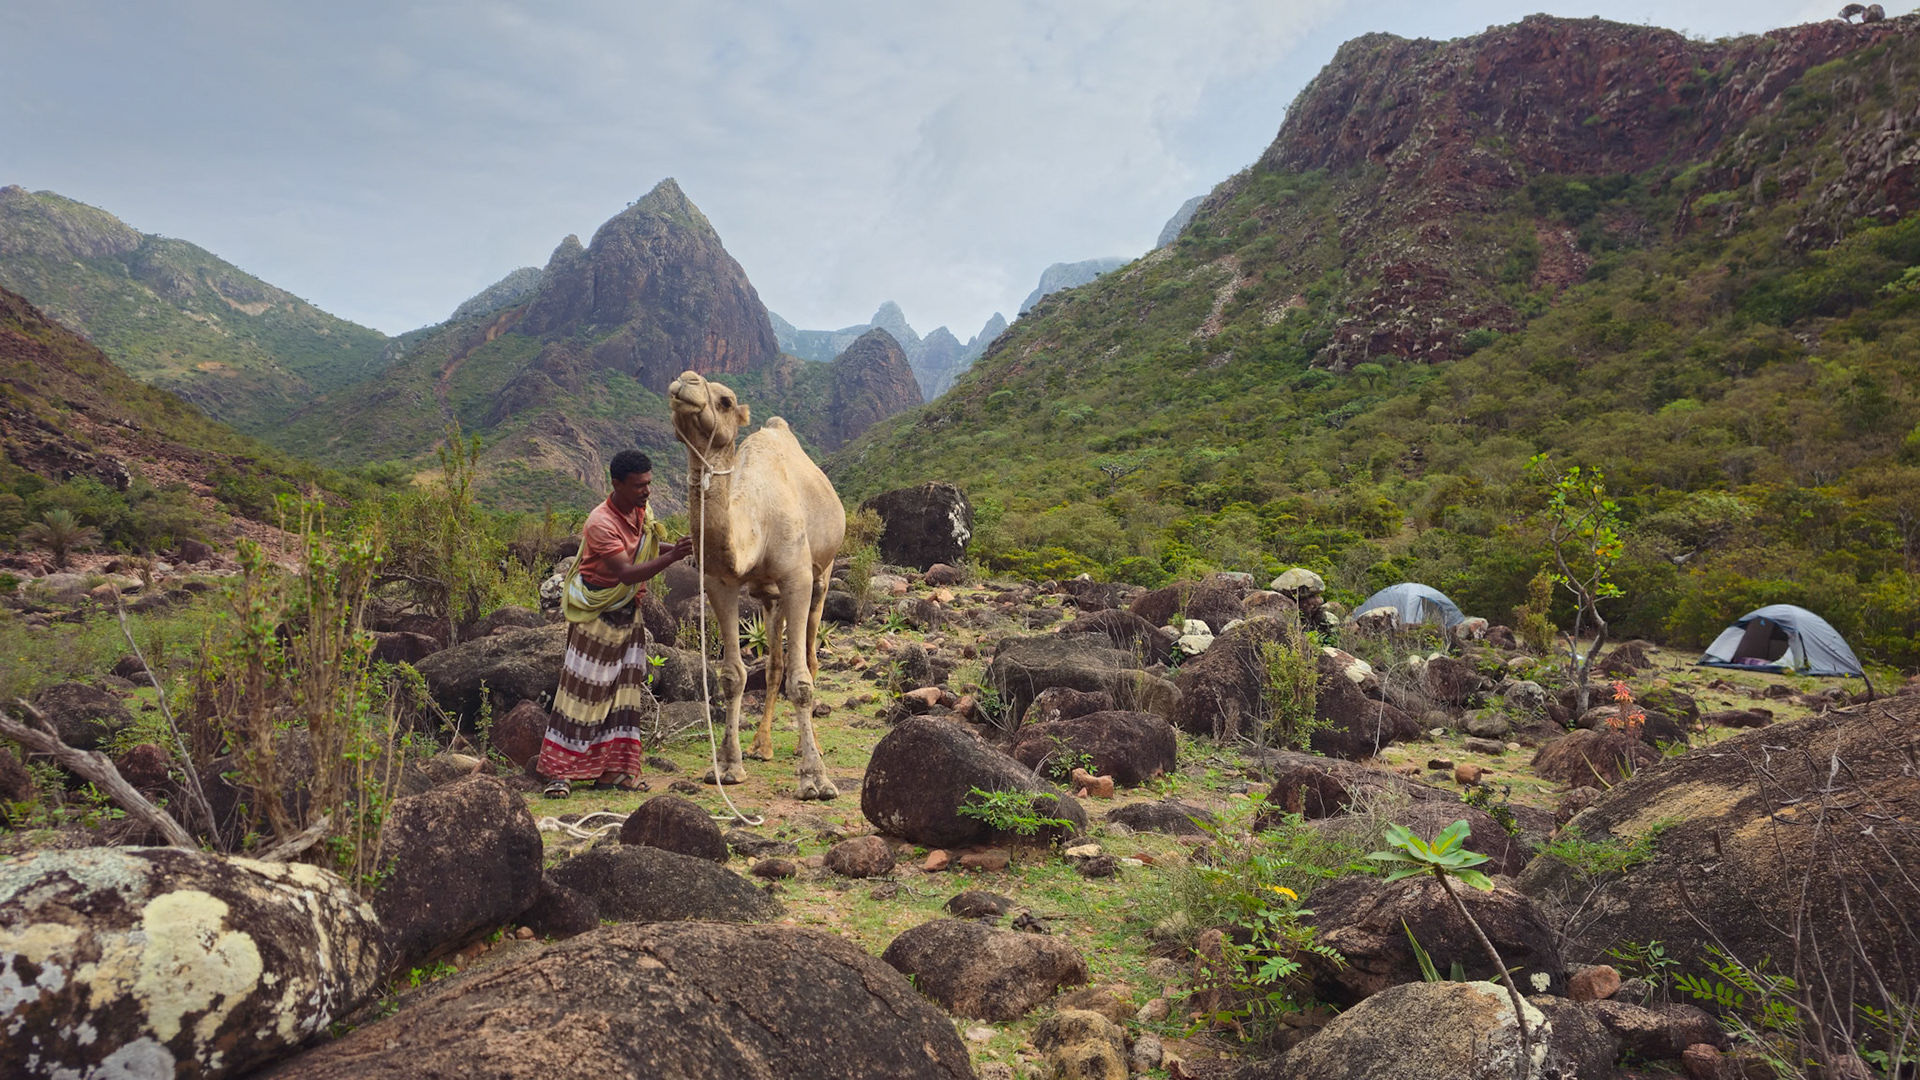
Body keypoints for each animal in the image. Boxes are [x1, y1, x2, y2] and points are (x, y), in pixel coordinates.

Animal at [668, 370, 847, 800]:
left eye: (727, 401)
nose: (686, 380)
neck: (756, 525)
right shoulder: (721, 582)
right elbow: (733, 675)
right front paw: (728, 766)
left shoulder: (797, 577)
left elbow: (801, 681)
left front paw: (816, 779)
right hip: (768, 597)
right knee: (775, 664)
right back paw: (761, 745)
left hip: (823, 574)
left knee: (810, 657)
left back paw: (807, 746)